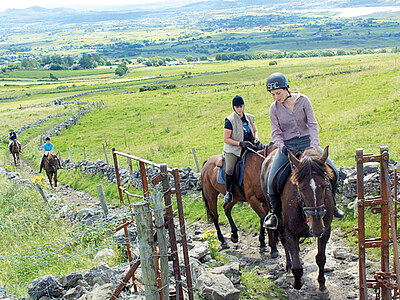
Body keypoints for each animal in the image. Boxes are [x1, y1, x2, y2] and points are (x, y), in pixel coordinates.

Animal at [260, 146, 336, 294]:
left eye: (325, 185)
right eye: (300, 188)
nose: (317, 228)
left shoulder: (326, 231)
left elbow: (321, 258)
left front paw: (322, 285)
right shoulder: (291, 232)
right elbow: (296, 265)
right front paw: (297, 283)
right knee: (284, 243)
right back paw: (289, 267)